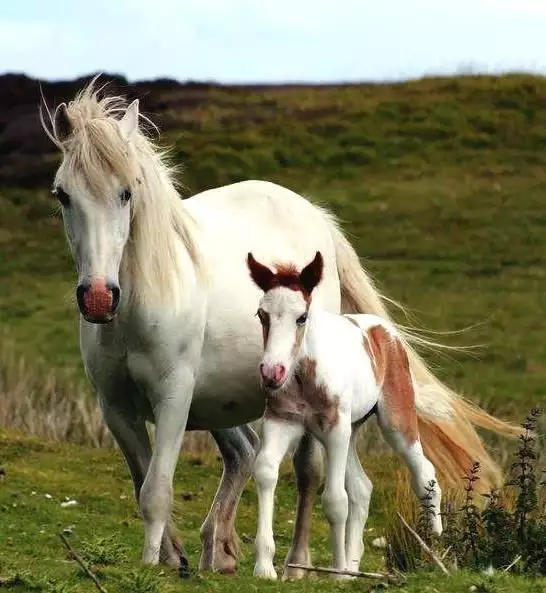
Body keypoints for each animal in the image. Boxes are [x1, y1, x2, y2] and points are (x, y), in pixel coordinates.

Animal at [246, 251, 442, 580]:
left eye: (301, 317)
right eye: (262, 315)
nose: (272, 373)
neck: (304, 376)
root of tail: (386, 332)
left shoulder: (335, 429)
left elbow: (336, 500)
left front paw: (336, 573)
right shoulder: (281, 422)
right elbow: (265, 471)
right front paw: (264, 567)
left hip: (394, 421)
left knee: (424, 472)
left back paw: (435, 546)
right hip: (351, 430)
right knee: (362, 489)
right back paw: (353, 567)